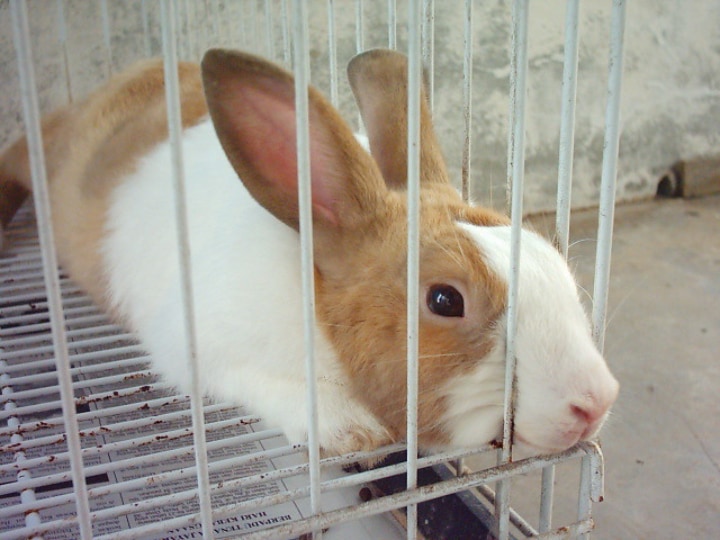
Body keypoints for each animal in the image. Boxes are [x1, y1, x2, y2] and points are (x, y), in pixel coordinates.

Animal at [0, 49, 620, 456]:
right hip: (42, 155)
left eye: (549, 256)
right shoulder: (201, 345)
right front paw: (353, 432)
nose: (596, 402)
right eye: (445, 300)